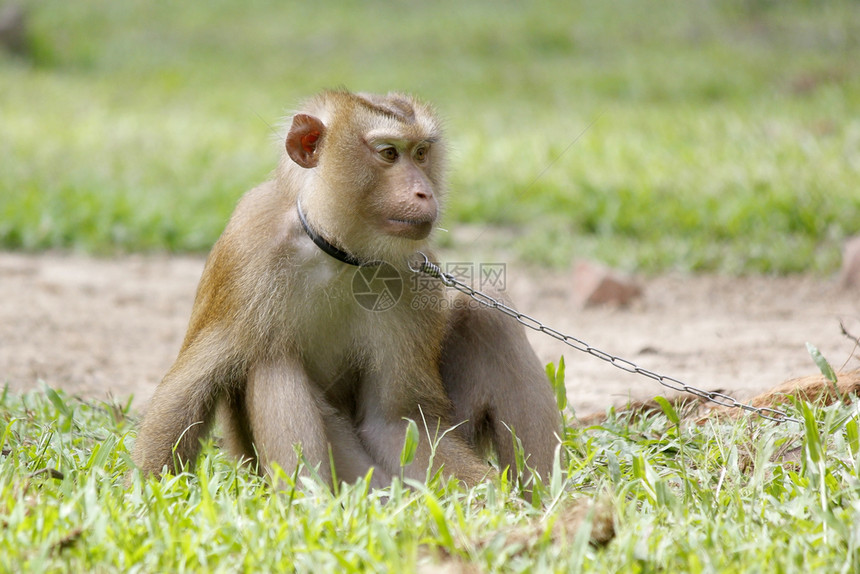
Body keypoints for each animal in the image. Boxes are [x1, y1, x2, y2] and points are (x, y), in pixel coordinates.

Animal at [133, 89, 564, 490]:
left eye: (421, 153)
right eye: (389, 154)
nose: (425, 192)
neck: (338, 251)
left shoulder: (410, 277)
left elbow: (396, 421)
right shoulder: (247, 251)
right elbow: (188, 390)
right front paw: (145, 493)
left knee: (487, 314)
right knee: (274, 357)